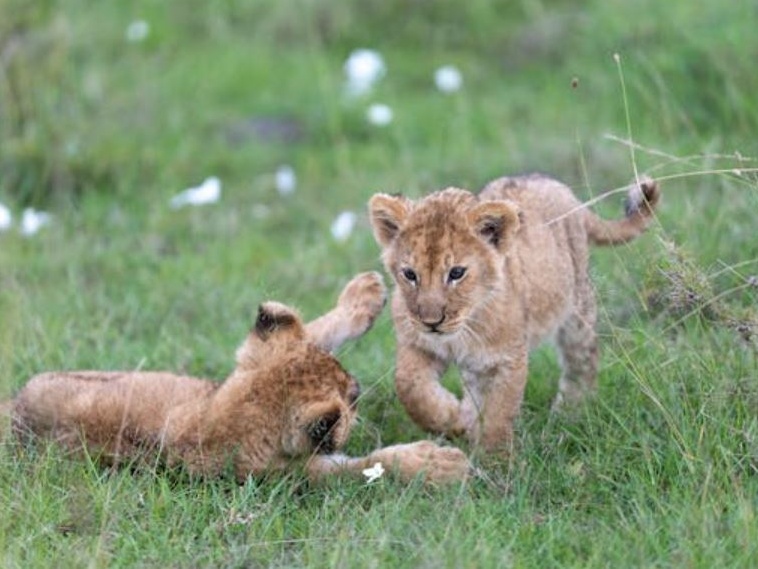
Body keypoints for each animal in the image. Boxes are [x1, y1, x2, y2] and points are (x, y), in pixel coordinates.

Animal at [3, 272, 470, 484]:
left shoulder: (243, 364)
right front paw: (439, 464)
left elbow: (312, 330)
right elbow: (371, 465)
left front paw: (363, 295)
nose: (357, 389)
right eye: (351, 397)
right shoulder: (298, 475)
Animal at [368, 174, 660, 454]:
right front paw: (452, 418)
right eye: (409, 274)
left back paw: (570, 412)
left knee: (583, 361)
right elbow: (409, 386)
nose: (431, 323)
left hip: (577, 310)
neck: (464, 327)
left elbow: (498, 415)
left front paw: (495, 461)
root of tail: (562, 189)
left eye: (456, 273)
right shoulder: (417, 343)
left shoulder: (507, 359)